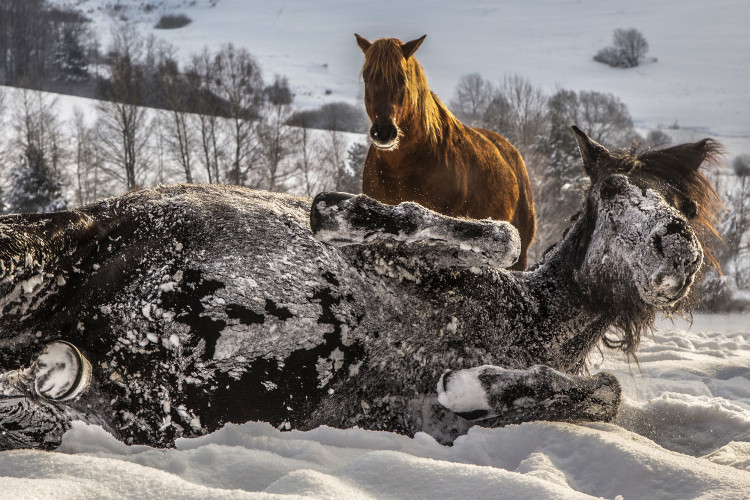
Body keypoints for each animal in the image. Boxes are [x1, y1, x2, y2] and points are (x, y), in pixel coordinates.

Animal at [0, 128, 721, 450]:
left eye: (681, 203)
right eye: (615, 190)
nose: (678, 246)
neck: (523, 321)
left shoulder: (413, 418)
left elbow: (603, 392)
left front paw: (475, 384)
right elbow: (498, 235)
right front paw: (343, 211)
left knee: (46, 408)